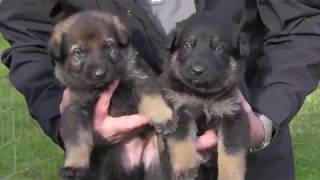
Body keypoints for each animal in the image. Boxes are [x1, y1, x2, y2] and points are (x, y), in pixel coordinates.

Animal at [47, 10, 174, 179]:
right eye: (79, 52)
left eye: (108, 46)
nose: (100, 74)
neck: (104, 86)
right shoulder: (76, 108)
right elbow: (77, 139)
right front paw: (74, 165)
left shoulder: (140, 78)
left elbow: (153, 100)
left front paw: (163, 117)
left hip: (155, 163)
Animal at [161, 11, 251, 180]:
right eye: (188, 45)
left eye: (219, 49)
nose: (197, 70)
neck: (203, 95)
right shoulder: (180, 109)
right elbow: (182, 140)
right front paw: (185, 168)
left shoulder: (233, 115)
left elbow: (232, 153)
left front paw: (230, 176)